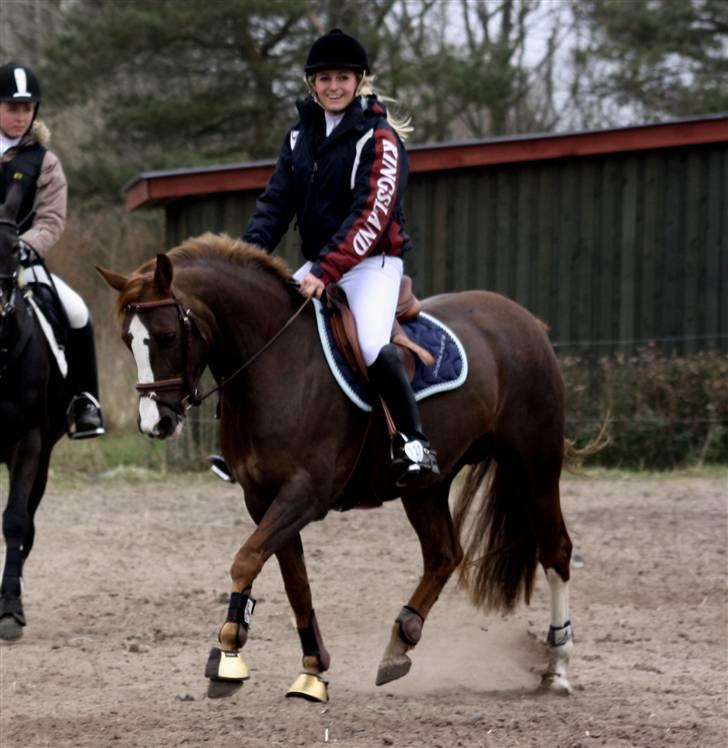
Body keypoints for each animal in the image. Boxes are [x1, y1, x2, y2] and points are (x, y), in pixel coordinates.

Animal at [97, 232, 575, 699]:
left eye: (165, 336)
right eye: (127, 339)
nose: (155, 424)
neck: (275, 361)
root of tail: (524, 319)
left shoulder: (305, 493)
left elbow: (247, 559)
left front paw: (228, 653)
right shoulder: (262, 498)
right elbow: (295, 582)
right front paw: (312, 670)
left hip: (533, 464)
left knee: (556, 551)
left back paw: (558, 669)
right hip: (426, 487)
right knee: (444, 555)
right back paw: (400, 641)